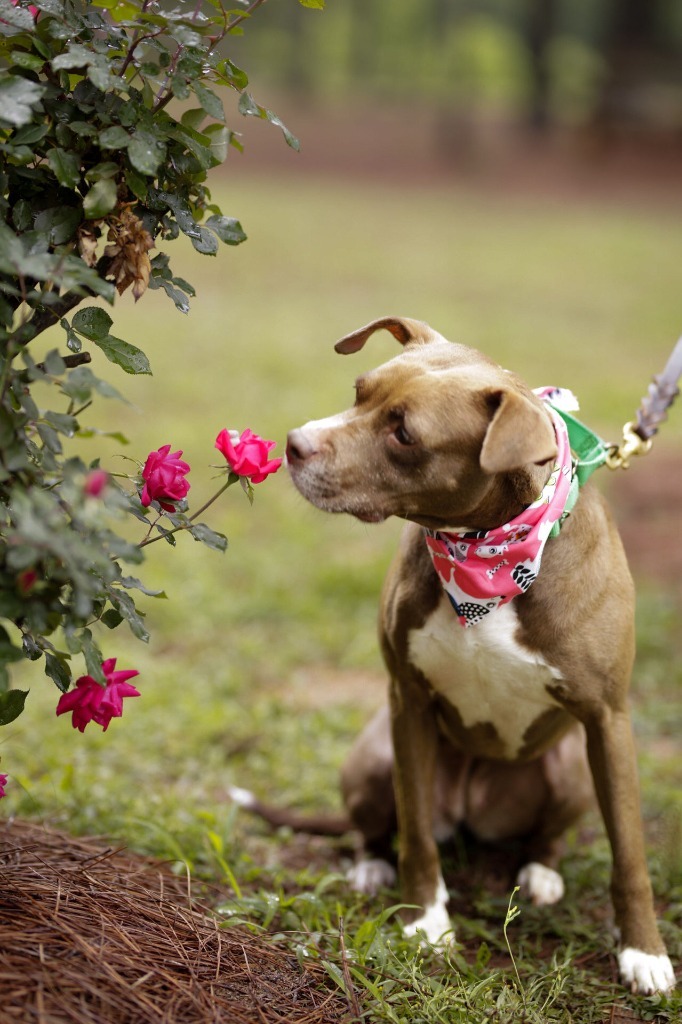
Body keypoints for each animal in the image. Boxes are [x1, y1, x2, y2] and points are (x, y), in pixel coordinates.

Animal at [274, 317, 667, 991]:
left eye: (404, 432)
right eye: (359, 392)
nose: (294, 443)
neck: (487, 554)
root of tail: (470, 813)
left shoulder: (608, 720)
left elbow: (630, 854)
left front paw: (645, 954)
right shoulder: (407, 702)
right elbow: (415, 836)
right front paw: (426, 923)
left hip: (571, 766)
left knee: (546, 838)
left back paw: (540, 873)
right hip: (376, 755)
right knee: (380, 827)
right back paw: (371, 866)